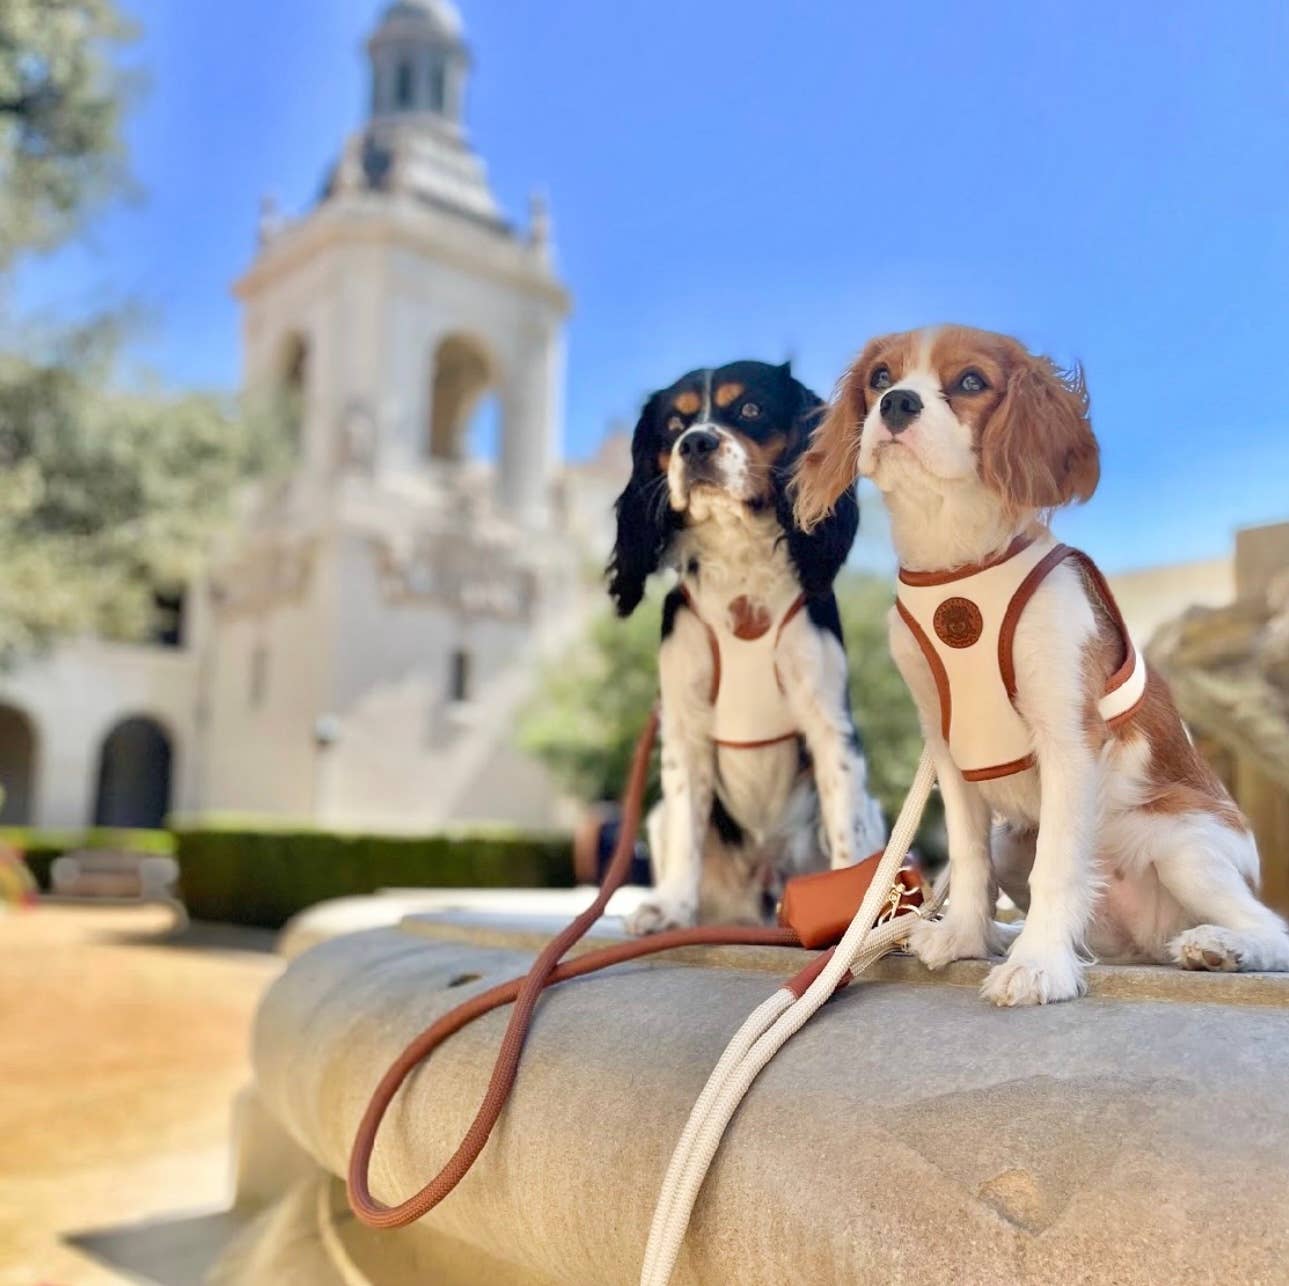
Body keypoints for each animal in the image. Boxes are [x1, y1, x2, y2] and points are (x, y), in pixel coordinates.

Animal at [605, 363, 886, 938]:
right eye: (674, 424)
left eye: (750, 409)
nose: (696, 442)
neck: (739, 575)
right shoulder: (684, 726)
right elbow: (687, 824)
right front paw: (671, 908)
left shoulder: (830, 724)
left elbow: (845, 825)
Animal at [794, 324, 1289, 1005]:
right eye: (880, 378)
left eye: (970, 381)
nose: (896, 403)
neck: (958, 565)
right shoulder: (946, 747)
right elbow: (967, 857)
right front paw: (966, 937)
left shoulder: (1069, 737)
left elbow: (1058, 863)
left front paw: (1039, 966)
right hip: (1014, 842)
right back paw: (1003, 934)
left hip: (1183, 848)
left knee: (1273, 930)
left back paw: (1219, 946)